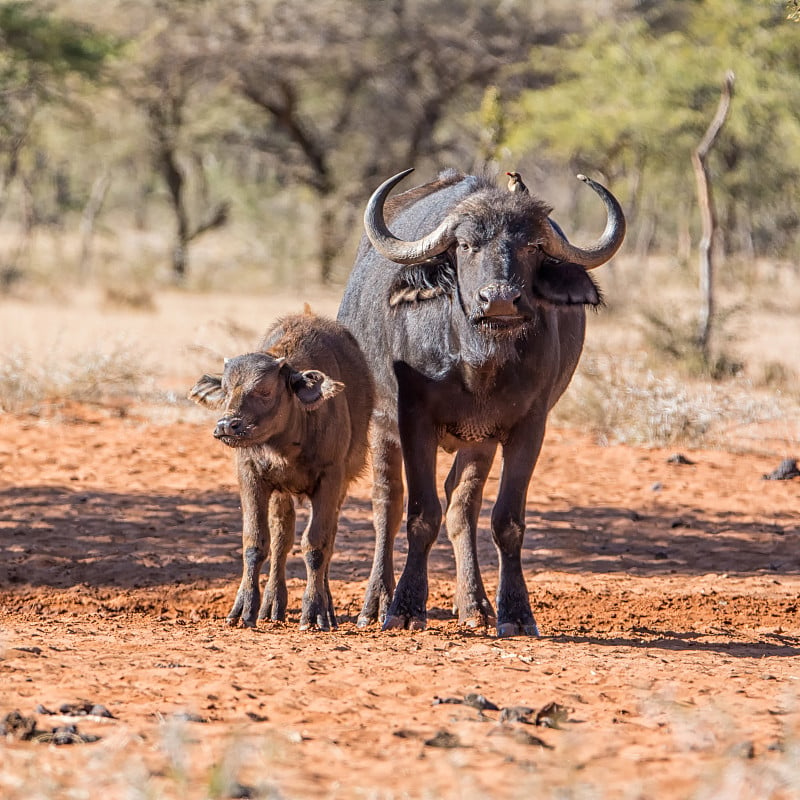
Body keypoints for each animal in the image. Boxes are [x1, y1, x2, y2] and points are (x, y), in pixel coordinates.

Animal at [189, 312, 374, 632]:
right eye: (226, 390)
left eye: (264, 390)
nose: (227, 426)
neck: (285, 443)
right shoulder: (251, 476)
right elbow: (256, 541)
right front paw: (244, 609)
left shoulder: (331, 479)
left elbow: (316, 545)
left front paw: (314, 611)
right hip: (280, 493)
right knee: (281, 537)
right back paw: (272, 604)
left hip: (341, 485)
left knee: (328, 540)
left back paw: (327, 607)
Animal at [338, 167, 624, 636]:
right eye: (466, 245)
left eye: (531, 246)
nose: (500, 299)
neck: (478, 361)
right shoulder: (412, 419)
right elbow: (420, 515)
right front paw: (405, 607)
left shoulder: (527, 427)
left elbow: (506, 521)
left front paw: (516, 613)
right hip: (381, 426)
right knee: (388, 505)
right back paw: (376, 601)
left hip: (479, 442)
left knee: (461, 507)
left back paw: (474, 605)